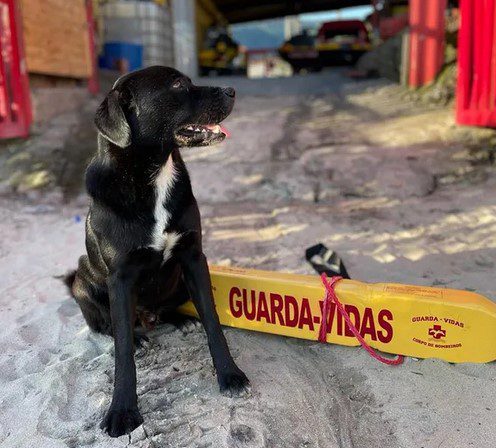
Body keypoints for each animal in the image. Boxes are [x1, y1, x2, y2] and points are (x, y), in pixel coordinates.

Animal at [66, 66, 250, 438]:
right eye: (178, 85)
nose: (232, 90)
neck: (154, 178)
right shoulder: (120, 279)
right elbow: (122, 351)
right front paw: (122, 411)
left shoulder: (194, 259)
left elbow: (213, 323)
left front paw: (229, 374)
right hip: (82, 281)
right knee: (105, 326)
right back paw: (138, 336)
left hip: (178, 282)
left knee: (166, 310)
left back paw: (179, 319)